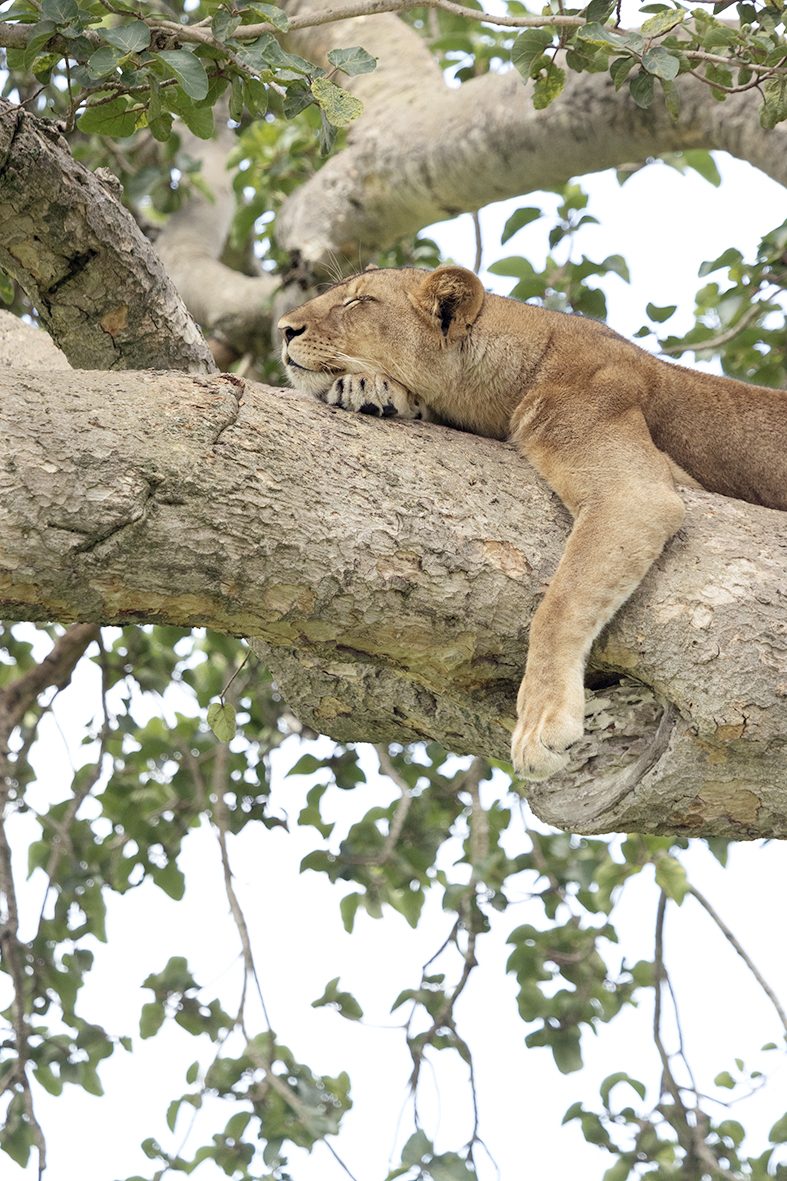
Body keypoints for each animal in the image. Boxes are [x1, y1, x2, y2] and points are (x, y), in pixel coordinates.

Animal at [278, 265, 787, 781]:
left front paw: (542, 718)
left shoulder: (634, 490)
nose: (284, 329)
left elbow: (558, 606)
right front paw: (371, 391)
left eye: (357, 302)